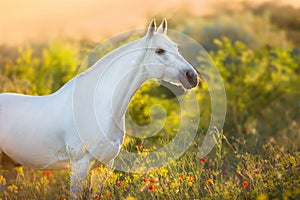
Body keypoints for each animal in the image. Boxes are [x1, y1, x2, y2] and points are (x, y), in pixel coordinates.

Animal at [0, 19, 199, 198]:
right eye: (159, 51)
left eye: (176, 48)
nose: (192, 76)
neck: (99, 107)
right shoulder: (79, 166)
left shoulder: (104, 165)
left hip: (9, 166)